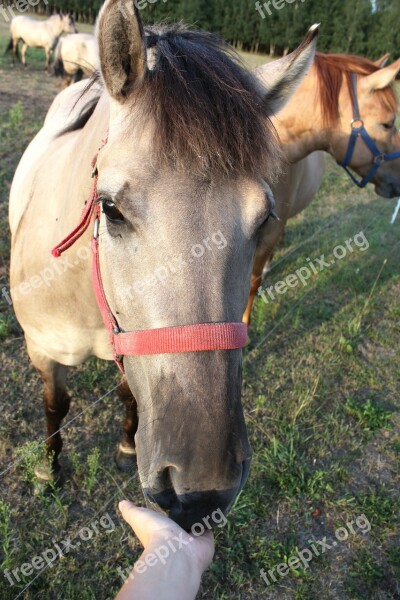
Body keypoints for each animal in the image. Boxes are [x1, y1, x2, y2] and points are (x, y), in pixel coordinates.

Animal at [7, 0, 318, 528]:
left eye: (265, 219)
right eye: (110, 209)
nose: (204, 490)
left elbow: (128, 393)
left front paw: (126, 446)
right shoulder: (42, 349)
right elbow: (56, 403)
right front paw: (50, 468)